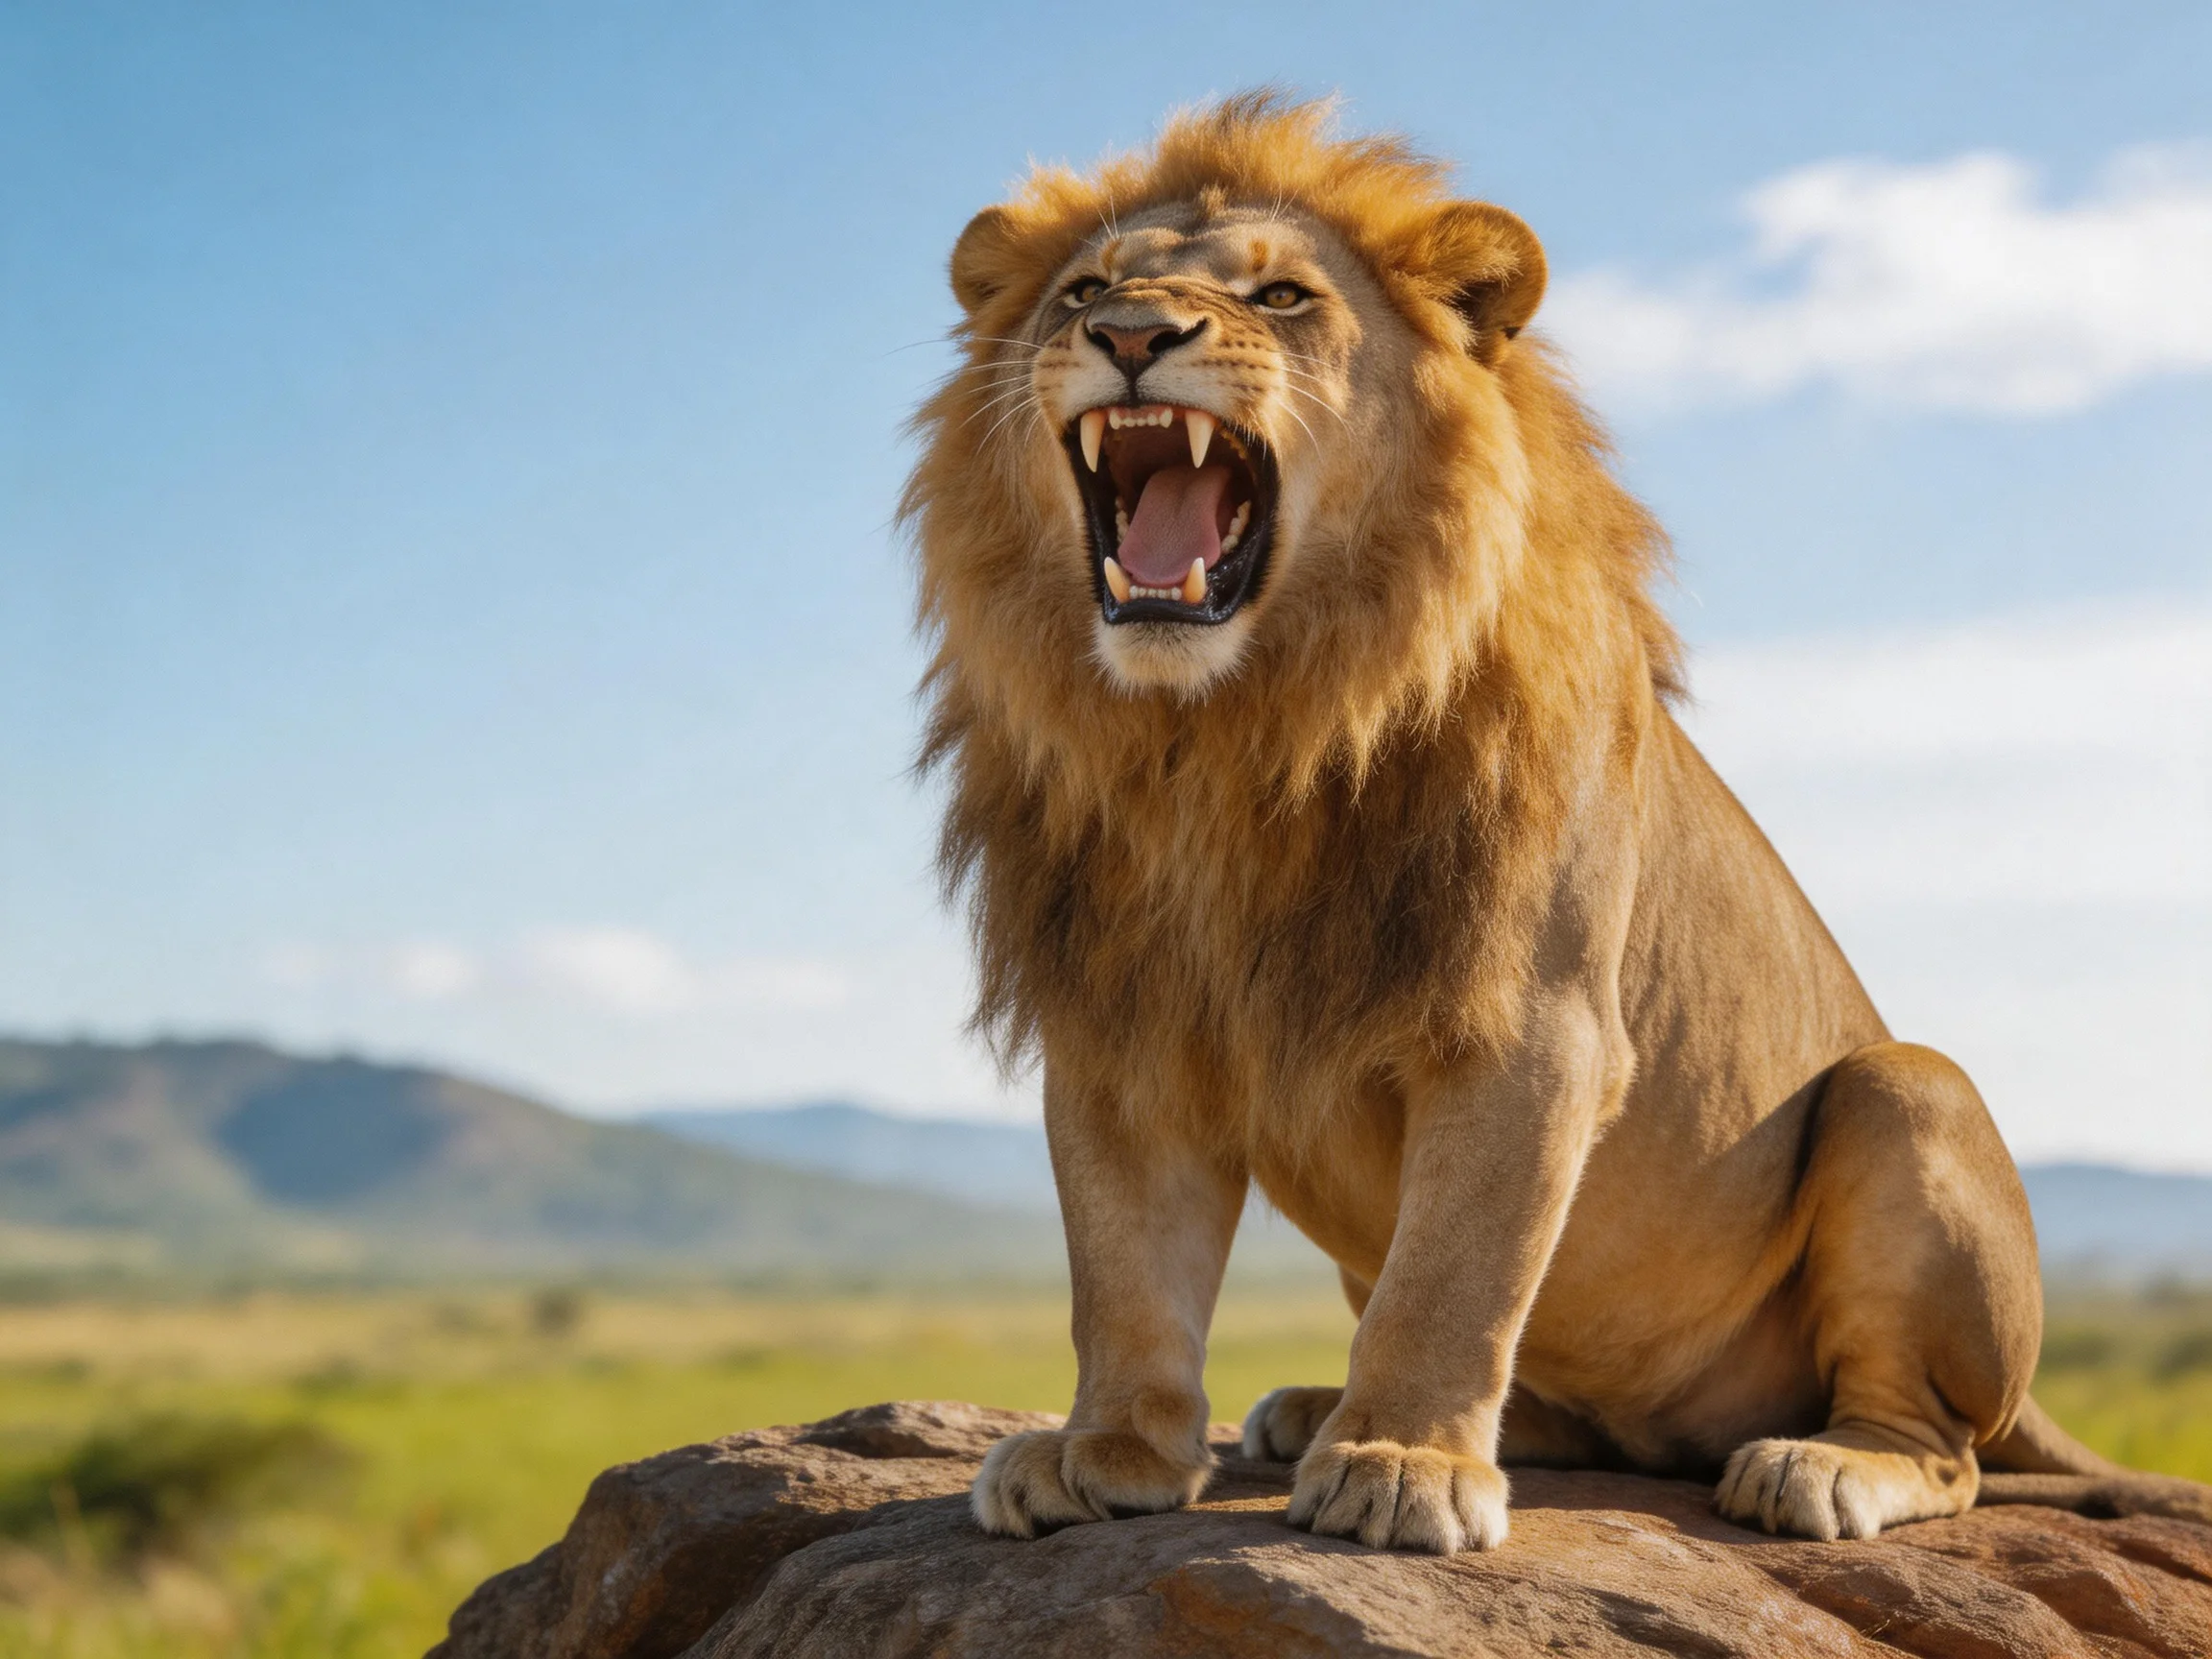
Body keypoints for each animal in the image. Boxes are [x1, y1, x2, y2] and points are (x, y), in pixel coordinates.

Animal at [903, 93, 2212, 1553]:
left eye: (1284, 297)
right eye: (1084, 291)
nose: (1132, 337)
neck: (1232, 739)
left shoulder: (1527, 1020)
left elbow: (1454, 1275)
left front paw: (1405, 1464)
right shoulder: (1121, 1024)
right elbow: (1126, 1271)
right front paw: (1107, 1452)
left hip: (1904, 1092)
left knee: (1946, 1446)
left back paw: (1815, 1467)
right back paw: (1316, 1406)